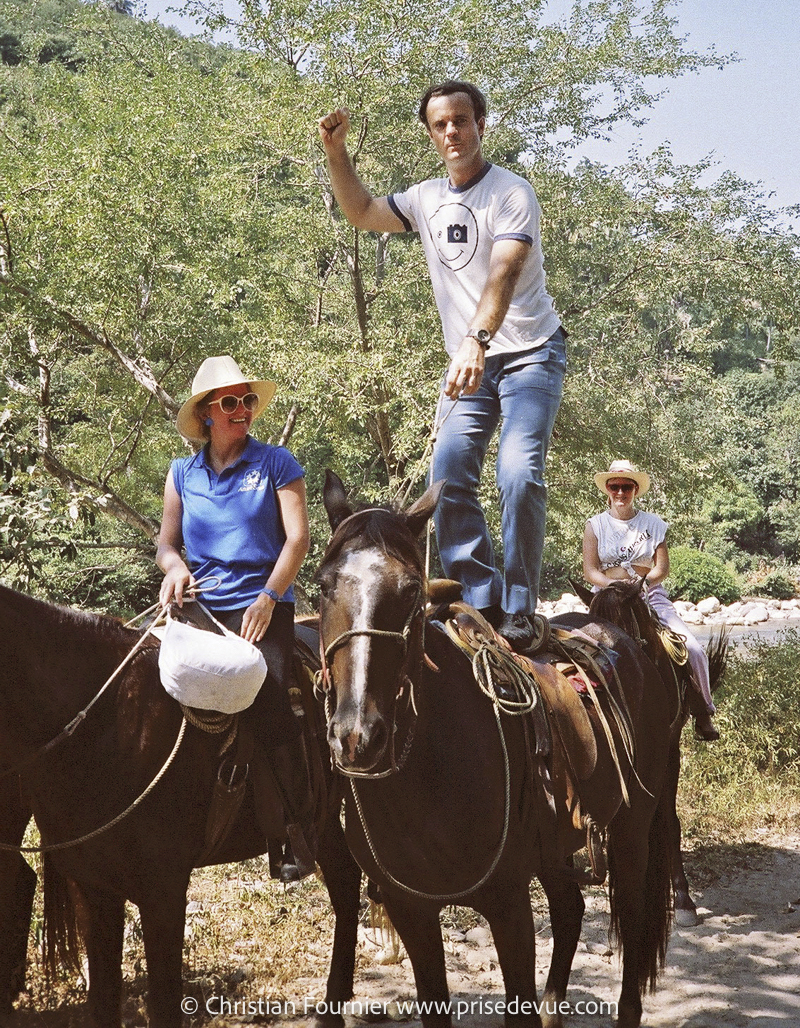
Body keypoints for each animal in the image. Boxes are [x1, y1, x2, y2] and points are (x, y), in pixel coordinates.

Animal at [0, 588, 357, 1028]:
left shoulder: (163, 890)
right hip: (325, 820)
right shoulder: (91, 888)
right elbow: (103, 999)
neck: (106, 726)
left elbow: (165, 1003)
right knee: (346, 881)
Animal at [318, 472, 678, 1028]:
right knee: (570, 908)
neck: (428, 777)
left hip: (633, 828)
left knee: (634, 920)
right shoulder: (410, 909)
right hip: (556, 846)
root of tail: (630, 644)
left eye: (409, 591)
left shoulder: (508, 904)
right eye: (322, 584)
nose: (358, 735)